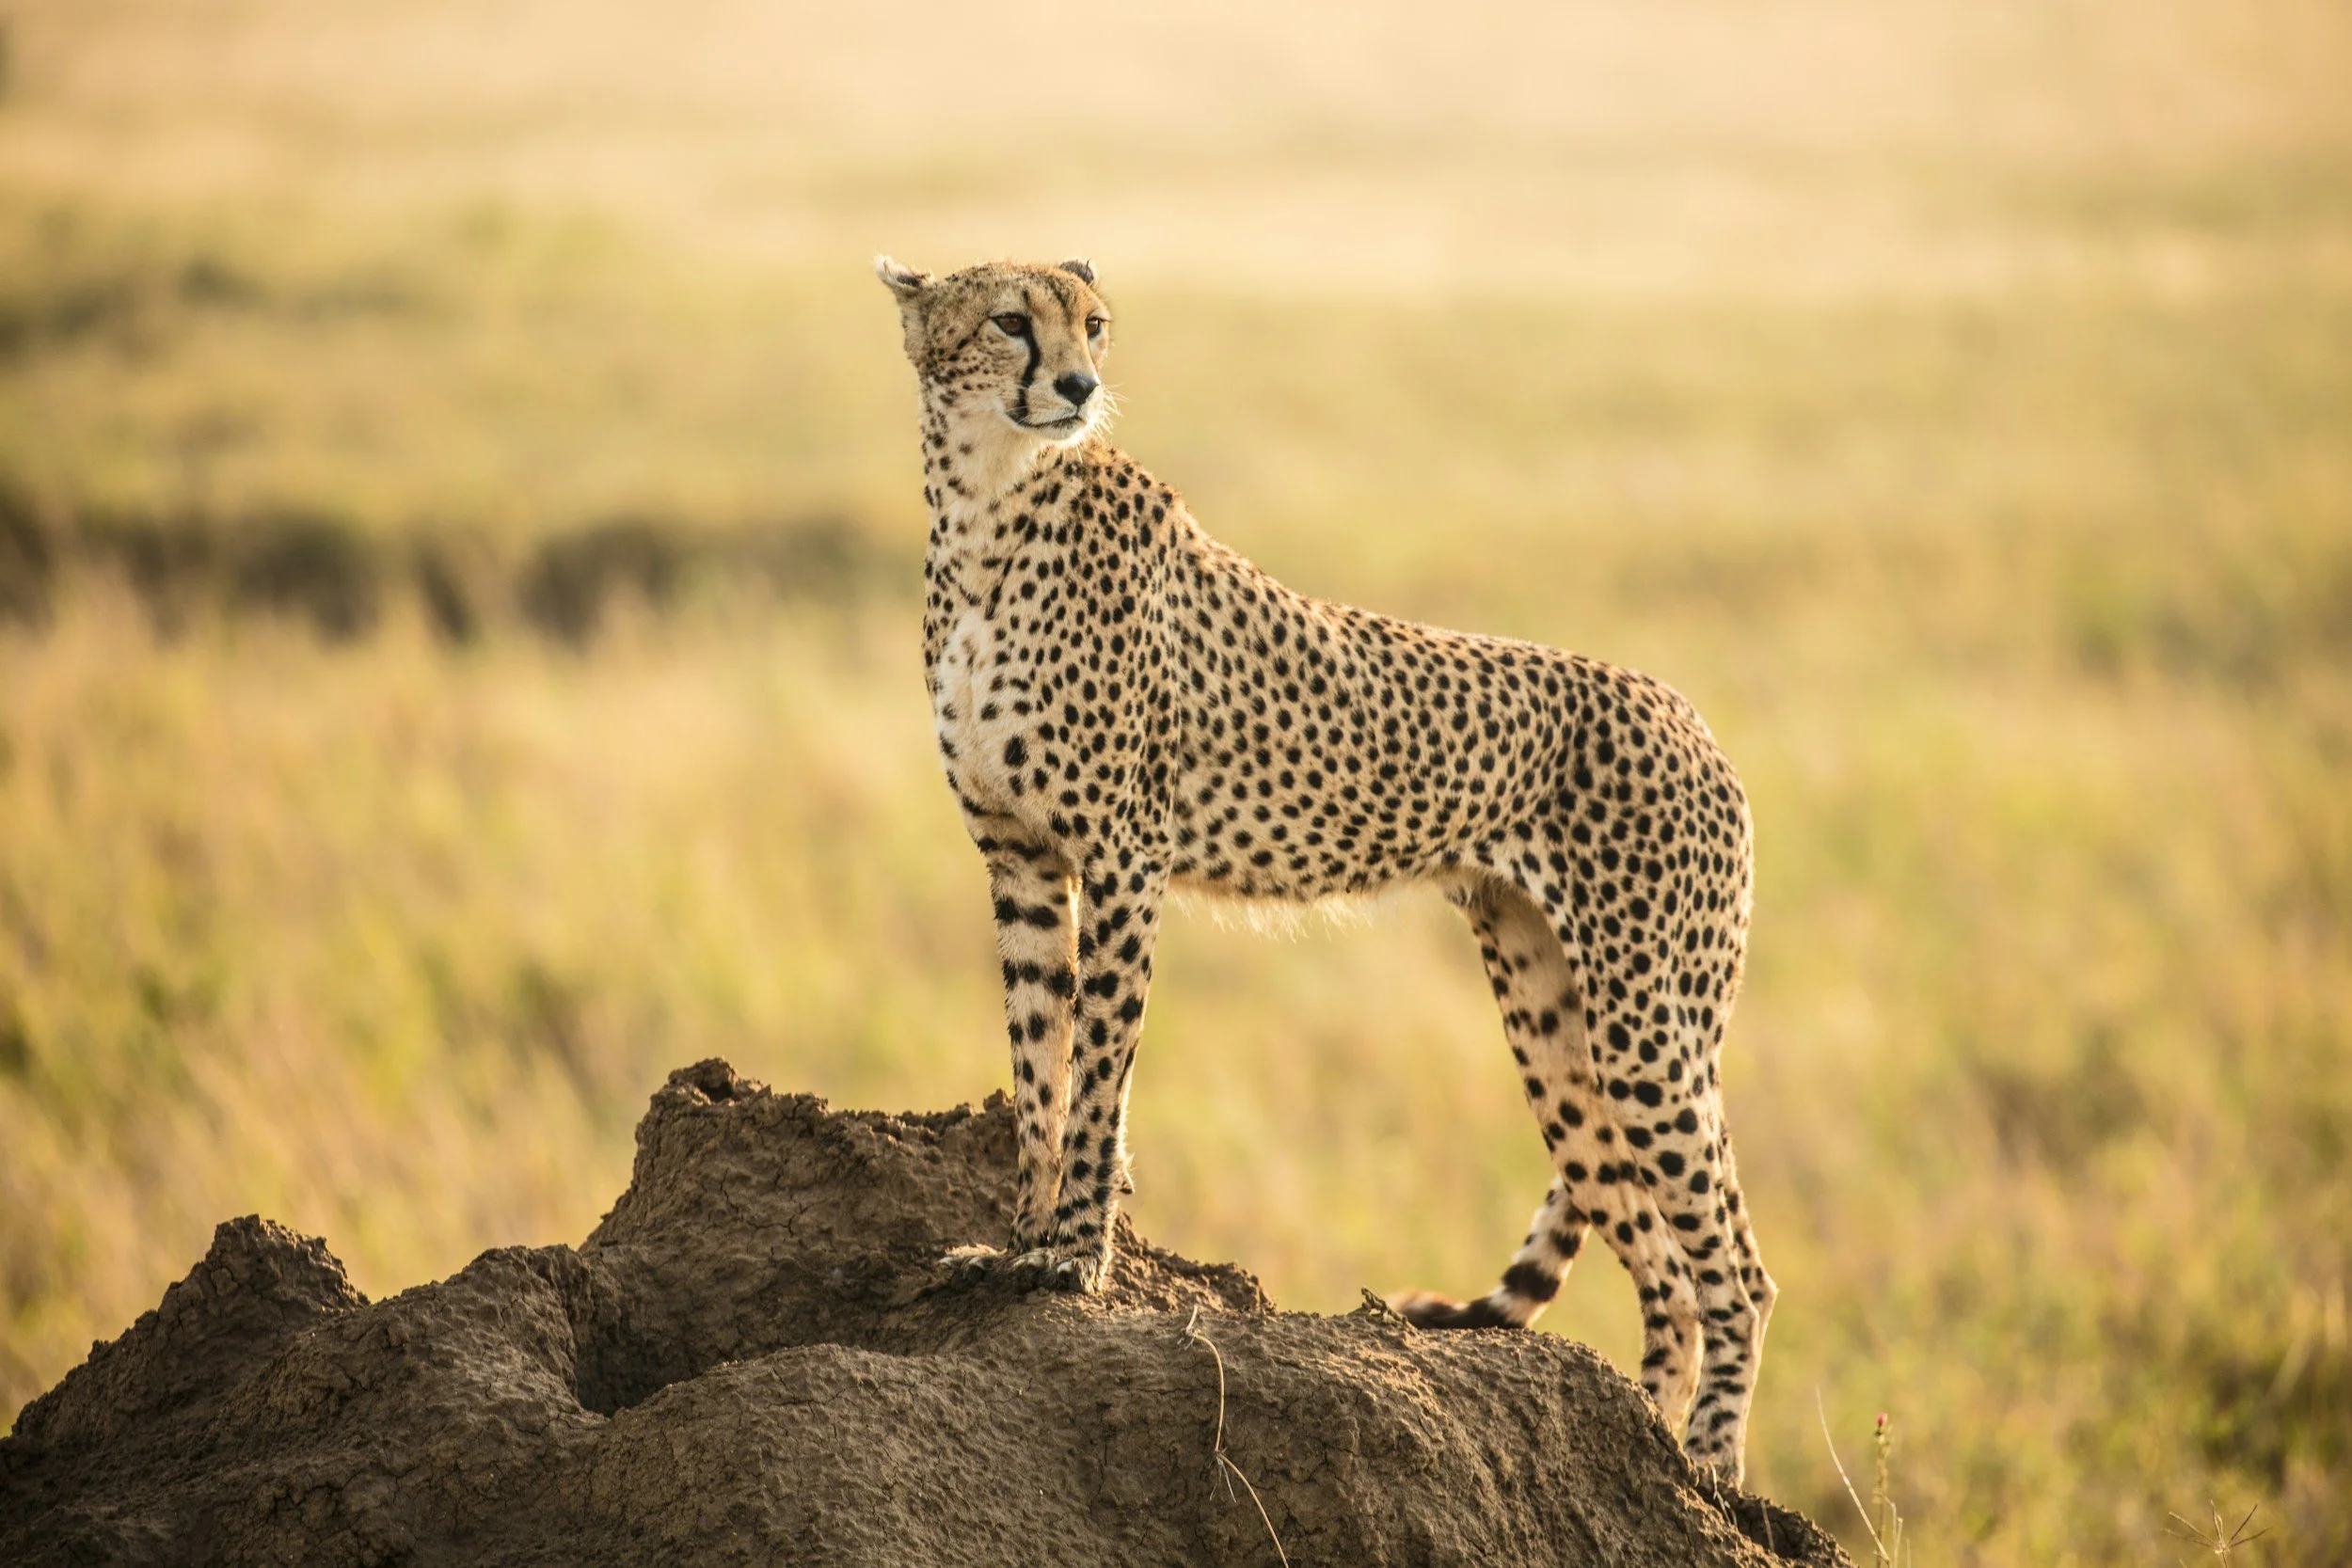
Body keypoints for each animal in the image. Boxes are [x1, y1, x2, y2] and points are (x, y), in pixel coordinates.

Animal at [876, 254, 1777, 1485]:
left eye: (1094, 326)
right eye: (1011, 320)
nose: (1076, 385)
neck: (986, 505)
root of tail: (1682, 707)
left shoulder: (1122, 854)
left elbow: (1099, 1068)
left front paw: (1074, 1256)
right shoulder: (1016, 855)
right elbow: (1036, 1067)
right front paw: (1015, 1245)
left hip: (1646, 1020)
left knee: (1735, 1269)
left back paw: (1710, 1472)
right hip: (1557, 1021)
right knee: (1661, 1262)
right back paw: (1643, 1446)